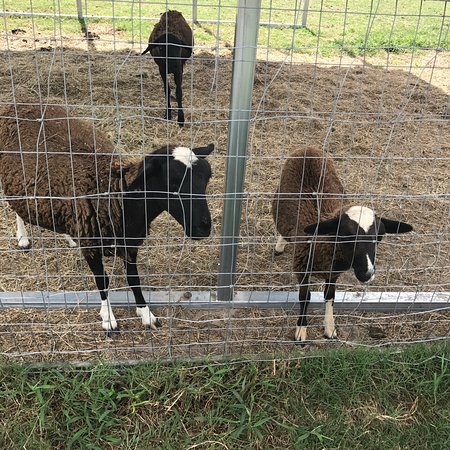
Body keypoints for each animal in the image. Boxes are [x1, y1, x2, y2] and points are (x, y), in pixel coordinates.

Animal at [0, 102, 214, 334]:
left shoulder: (129, 243)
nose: (204, 228)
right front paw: (108, 318)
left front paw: (145, 313)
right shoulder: (92, 245)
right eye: (173, 184)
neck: (116, 195)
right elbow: (102, 280)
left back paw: (68, 237)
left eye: (206, 179)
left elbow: (133, 278)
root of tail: (20, 104)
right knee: (16, 208)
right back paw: (23, 238)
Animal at [272, 146, 414, 342]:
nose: (367, 273)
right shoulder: (302, 268)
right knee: (283, 227)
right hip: (280, 203)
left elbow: (329, 296)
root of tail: (309, 148)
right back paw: (280, 244)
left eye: (379, 237)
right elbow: (305, 297)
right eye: (346, 234)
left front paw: (329, 327)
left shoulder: (333, 272)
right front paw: (301, 330)